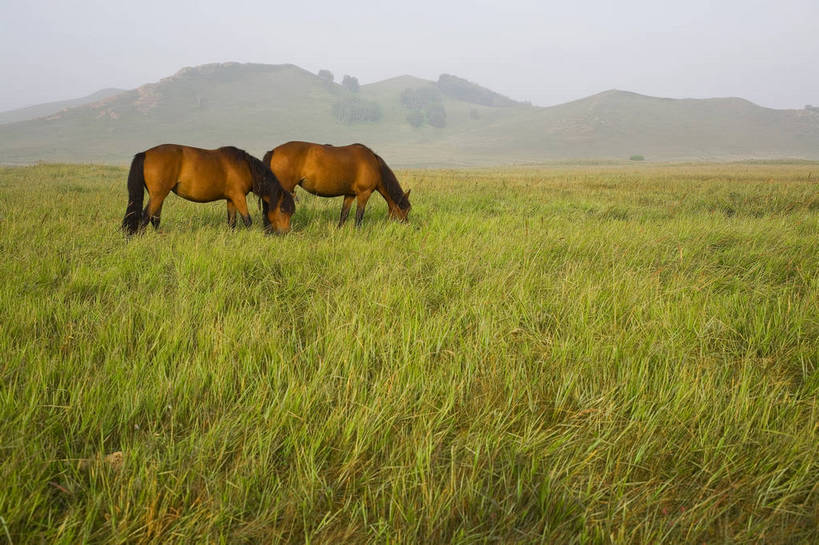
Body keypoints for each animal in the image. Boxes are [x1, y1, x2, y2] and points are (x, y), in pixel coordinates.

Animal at [121, 143, 294, 235]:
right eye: (283, 210)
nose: (285, 233)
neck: (245, 167)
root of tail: (145, 153)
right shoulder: (239, 197)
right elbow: (247, 220)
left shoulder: (231, 199)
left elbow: (232, 222)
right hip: (158, 195)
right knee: (145, 217)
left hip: (159, 195)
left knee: (155, 218)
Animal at [262, 141, 410, 226]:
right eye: (405, 209)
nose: (406, 225)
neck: (374, 165)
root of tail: (274, 151)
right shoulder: (364, 194)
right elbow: (359, 217)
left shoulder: (349, 195)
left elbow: (343, 215)